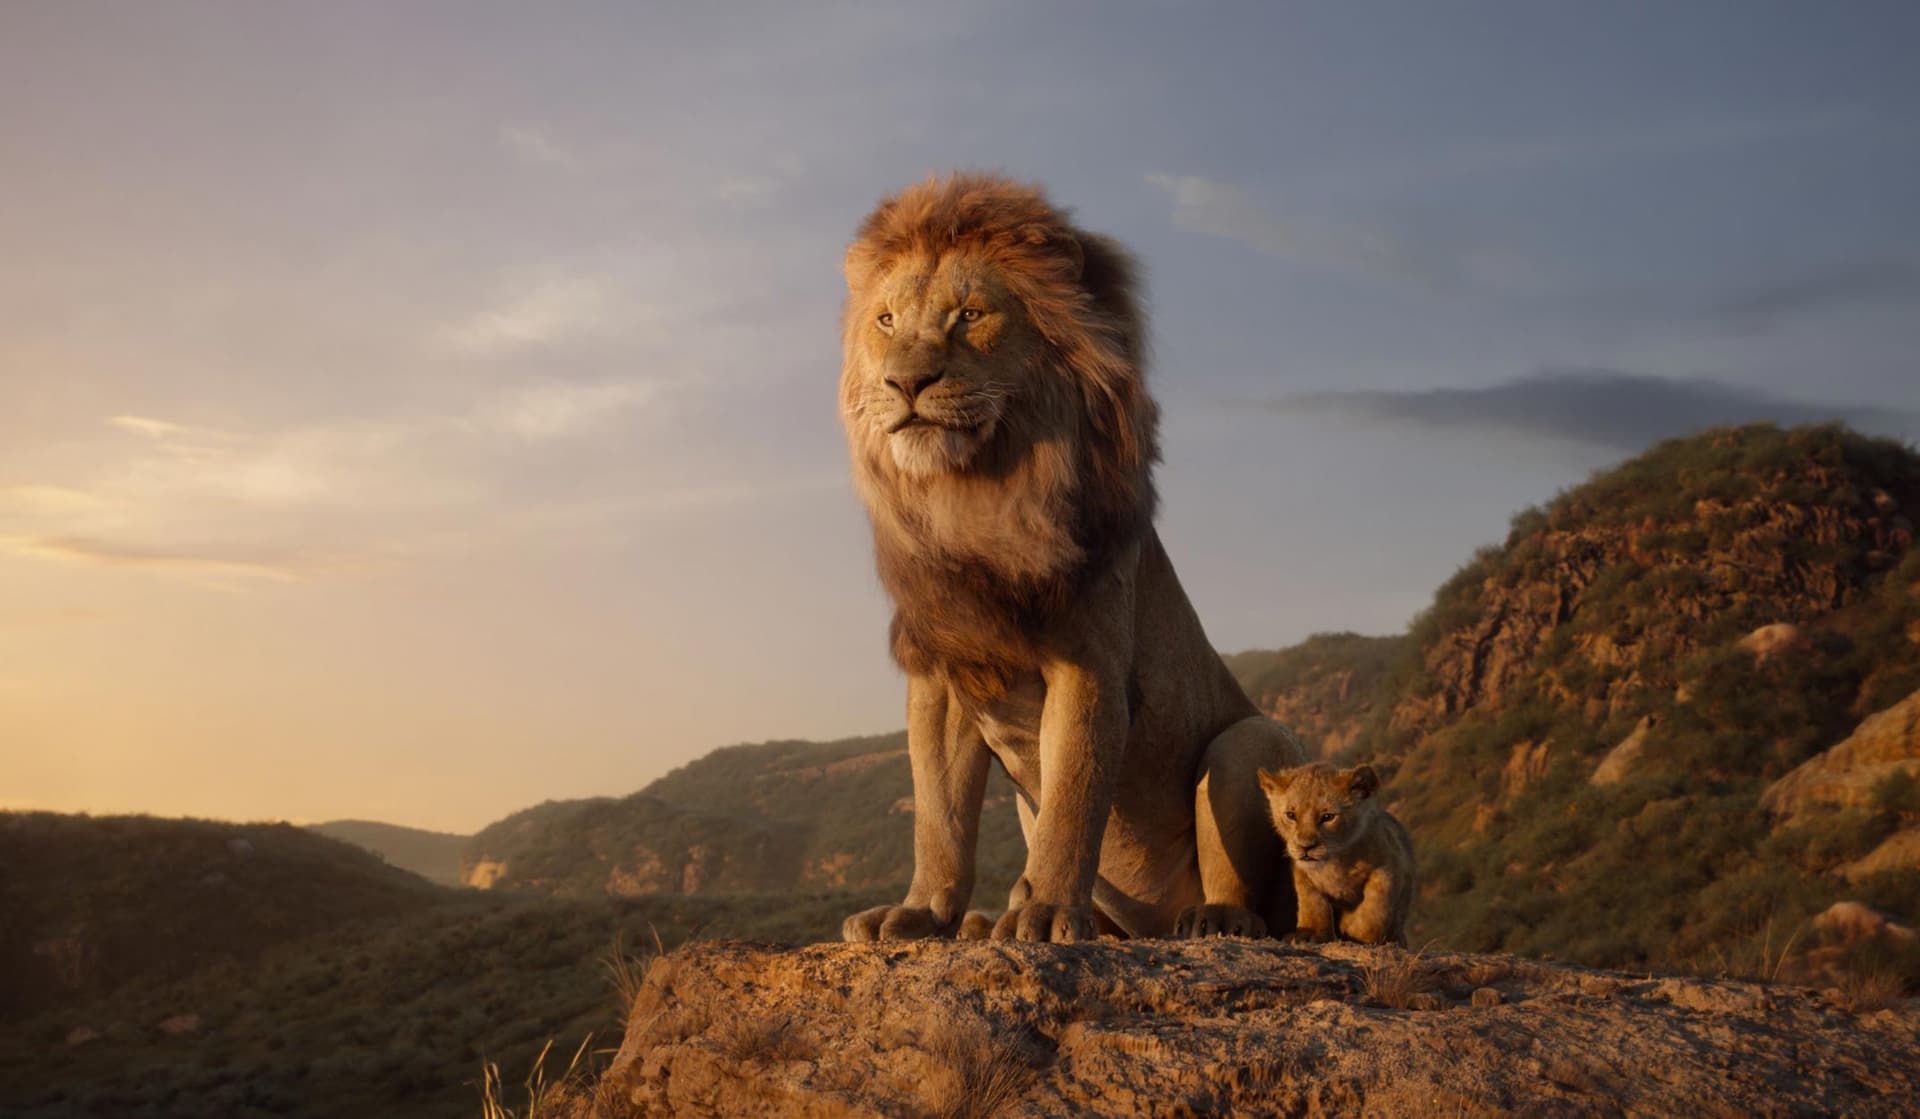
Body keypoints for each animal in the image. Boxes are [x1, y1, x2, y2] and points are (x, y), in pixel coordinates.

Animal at [836, 173, 1309, 944]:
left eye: (970, 315)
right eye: (885, 321)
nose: (905, 383)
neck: (975, 498)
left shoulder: (1089, 662)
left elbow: (1073, 798)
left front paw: (1049, 911)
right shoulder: (943, 671)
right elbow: (939, 815)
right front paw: (921, 911)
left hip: (1249, 740)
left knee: (1251, 893)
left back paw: (1212, 918)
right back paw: (986, 921)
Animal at [1258, 763, 1415, 946]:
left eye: (1328, 817)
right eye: (1291, 815)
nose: (1305, 847)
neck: (1335, 861)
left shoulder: (1389, 865)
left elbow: (1376, 907)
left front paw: (1353, 929)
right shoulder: (1302, 873)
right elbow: (1312, 902)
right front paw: (1310, 934)